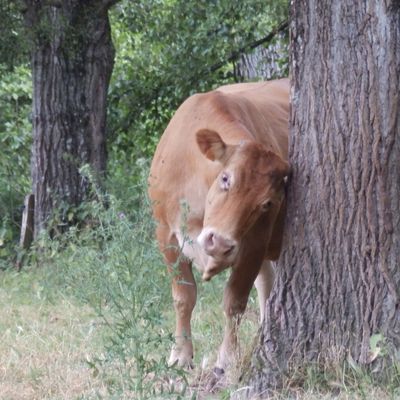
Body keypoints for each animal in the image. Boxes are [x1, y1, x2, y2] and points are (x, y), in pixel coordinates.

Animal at [148, 79, 290, 376]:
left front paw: (227, 359)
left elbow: (234, 302)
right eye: (225, 178)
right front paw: (180, 355)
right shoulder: (165, 234)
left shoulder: (254, 244)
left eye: (267, 203)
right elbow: (183, 297)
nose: (221, 243)